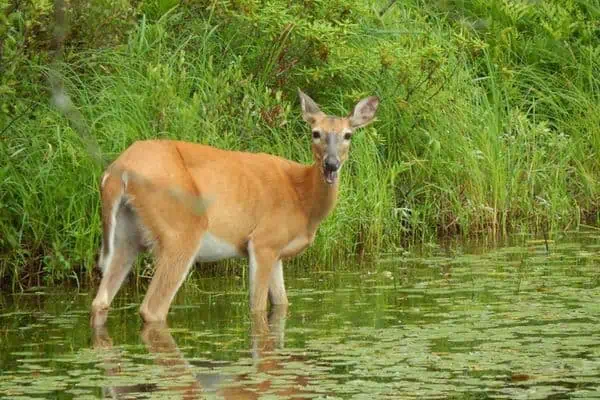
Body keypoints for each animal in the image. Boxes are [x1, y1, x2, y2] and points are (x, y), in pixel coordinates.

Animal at [89, 89, 380, 326]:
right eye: (315, 133)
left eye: (348, 135)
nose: (331, 164)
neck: (302, 198)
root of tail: (119, 170)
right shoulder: (263, 241)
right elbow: (257, 308)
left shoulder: (277, 253)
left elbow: (282, 304)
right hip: (181, 231)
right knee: (153, 308)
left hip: (126, 236)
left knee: (100, 301)